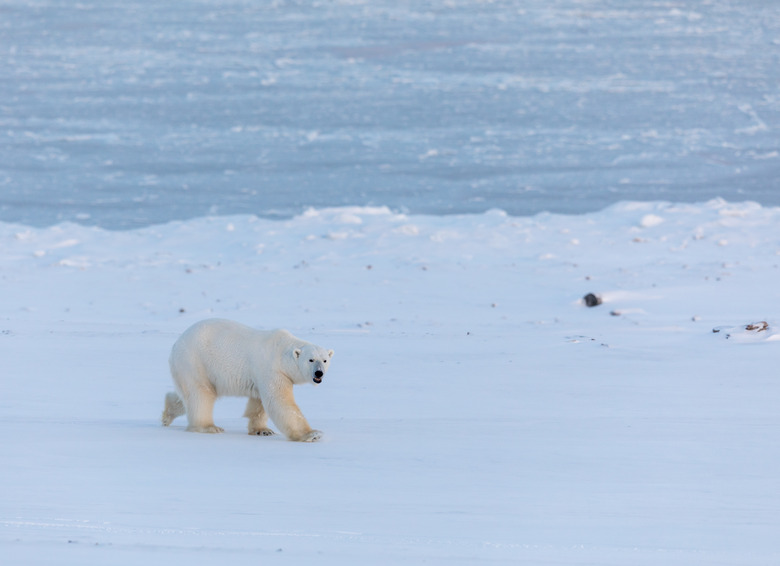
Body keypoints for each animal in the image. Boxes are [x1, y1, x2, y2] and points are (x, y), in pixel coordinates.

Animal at [163, 320, 334, 444]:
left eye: (325, 360)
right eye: (311, 360)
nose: (319, 373)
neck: (281, 353)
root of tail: (176, 344)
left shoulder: (263, 377)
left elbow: (259, 403)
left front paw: (263, 430)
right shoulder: (272, 370)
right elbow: (280, 402)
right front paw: (313, 434)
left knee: (185, 396)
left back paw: (167, 414)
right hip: (195, 361)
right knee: (201, 393)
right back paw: (209, 427)